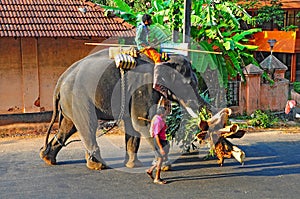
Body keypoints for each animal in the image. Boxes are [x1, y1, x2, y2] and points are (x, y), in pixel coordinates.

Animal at [39, 49, 212, 170]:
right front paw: (165, 166)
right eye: (188, 84)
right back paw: (98, 166)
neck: (163, 57)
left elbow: (132, 125)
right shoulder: (143, 87)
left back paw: (47, 158)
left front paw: (134, 165)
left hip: (71, 101)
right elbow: (141, 122)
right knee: (88, 125)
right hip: (78, 97)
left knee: (68, 126)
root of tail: (60, 81)